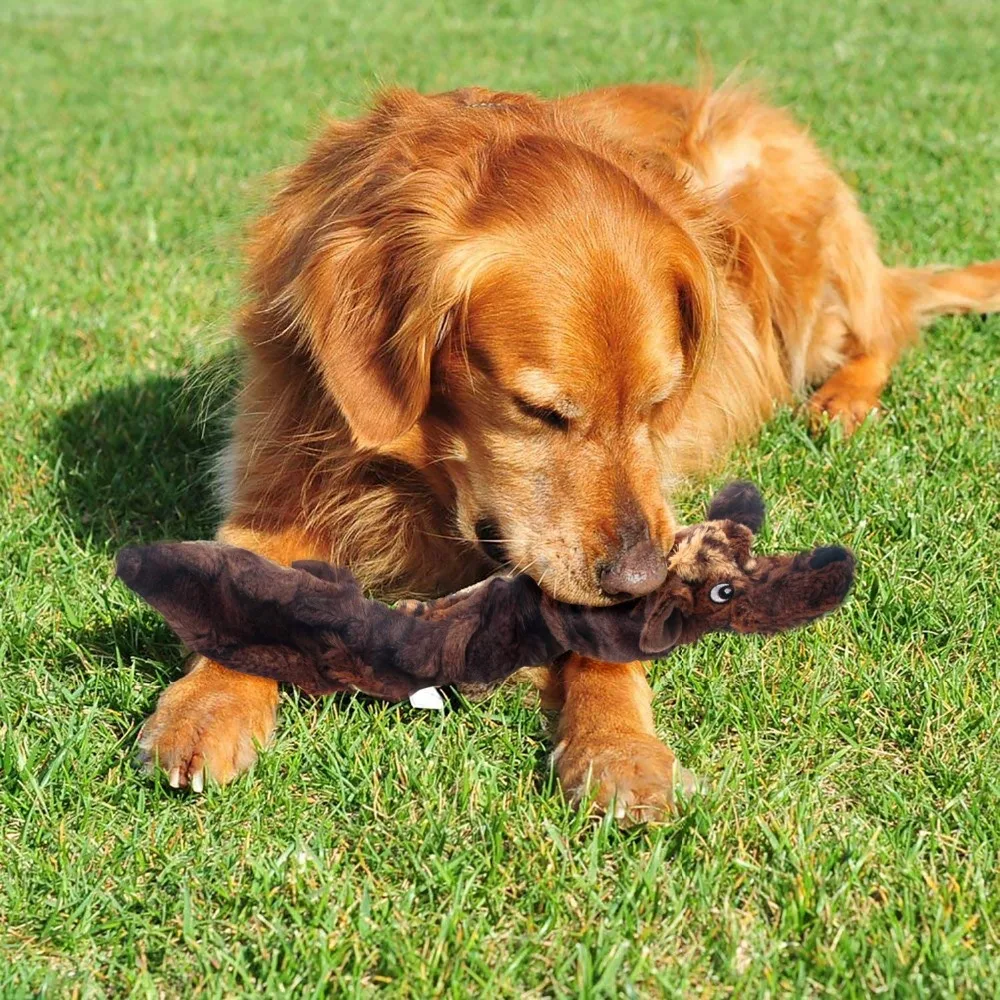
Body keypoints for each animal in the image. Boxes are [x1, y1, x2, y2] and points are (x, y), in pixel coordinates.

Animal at [138, 82, 999, 816]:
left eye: (657, 403)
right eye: (539, 411)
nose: (636, 576)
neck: (420, 478)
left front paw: (618, 745)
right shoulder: (277, 468)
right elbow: (237, 580)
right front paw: (206, 705)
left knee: (885, 326)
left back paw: (843, 400)